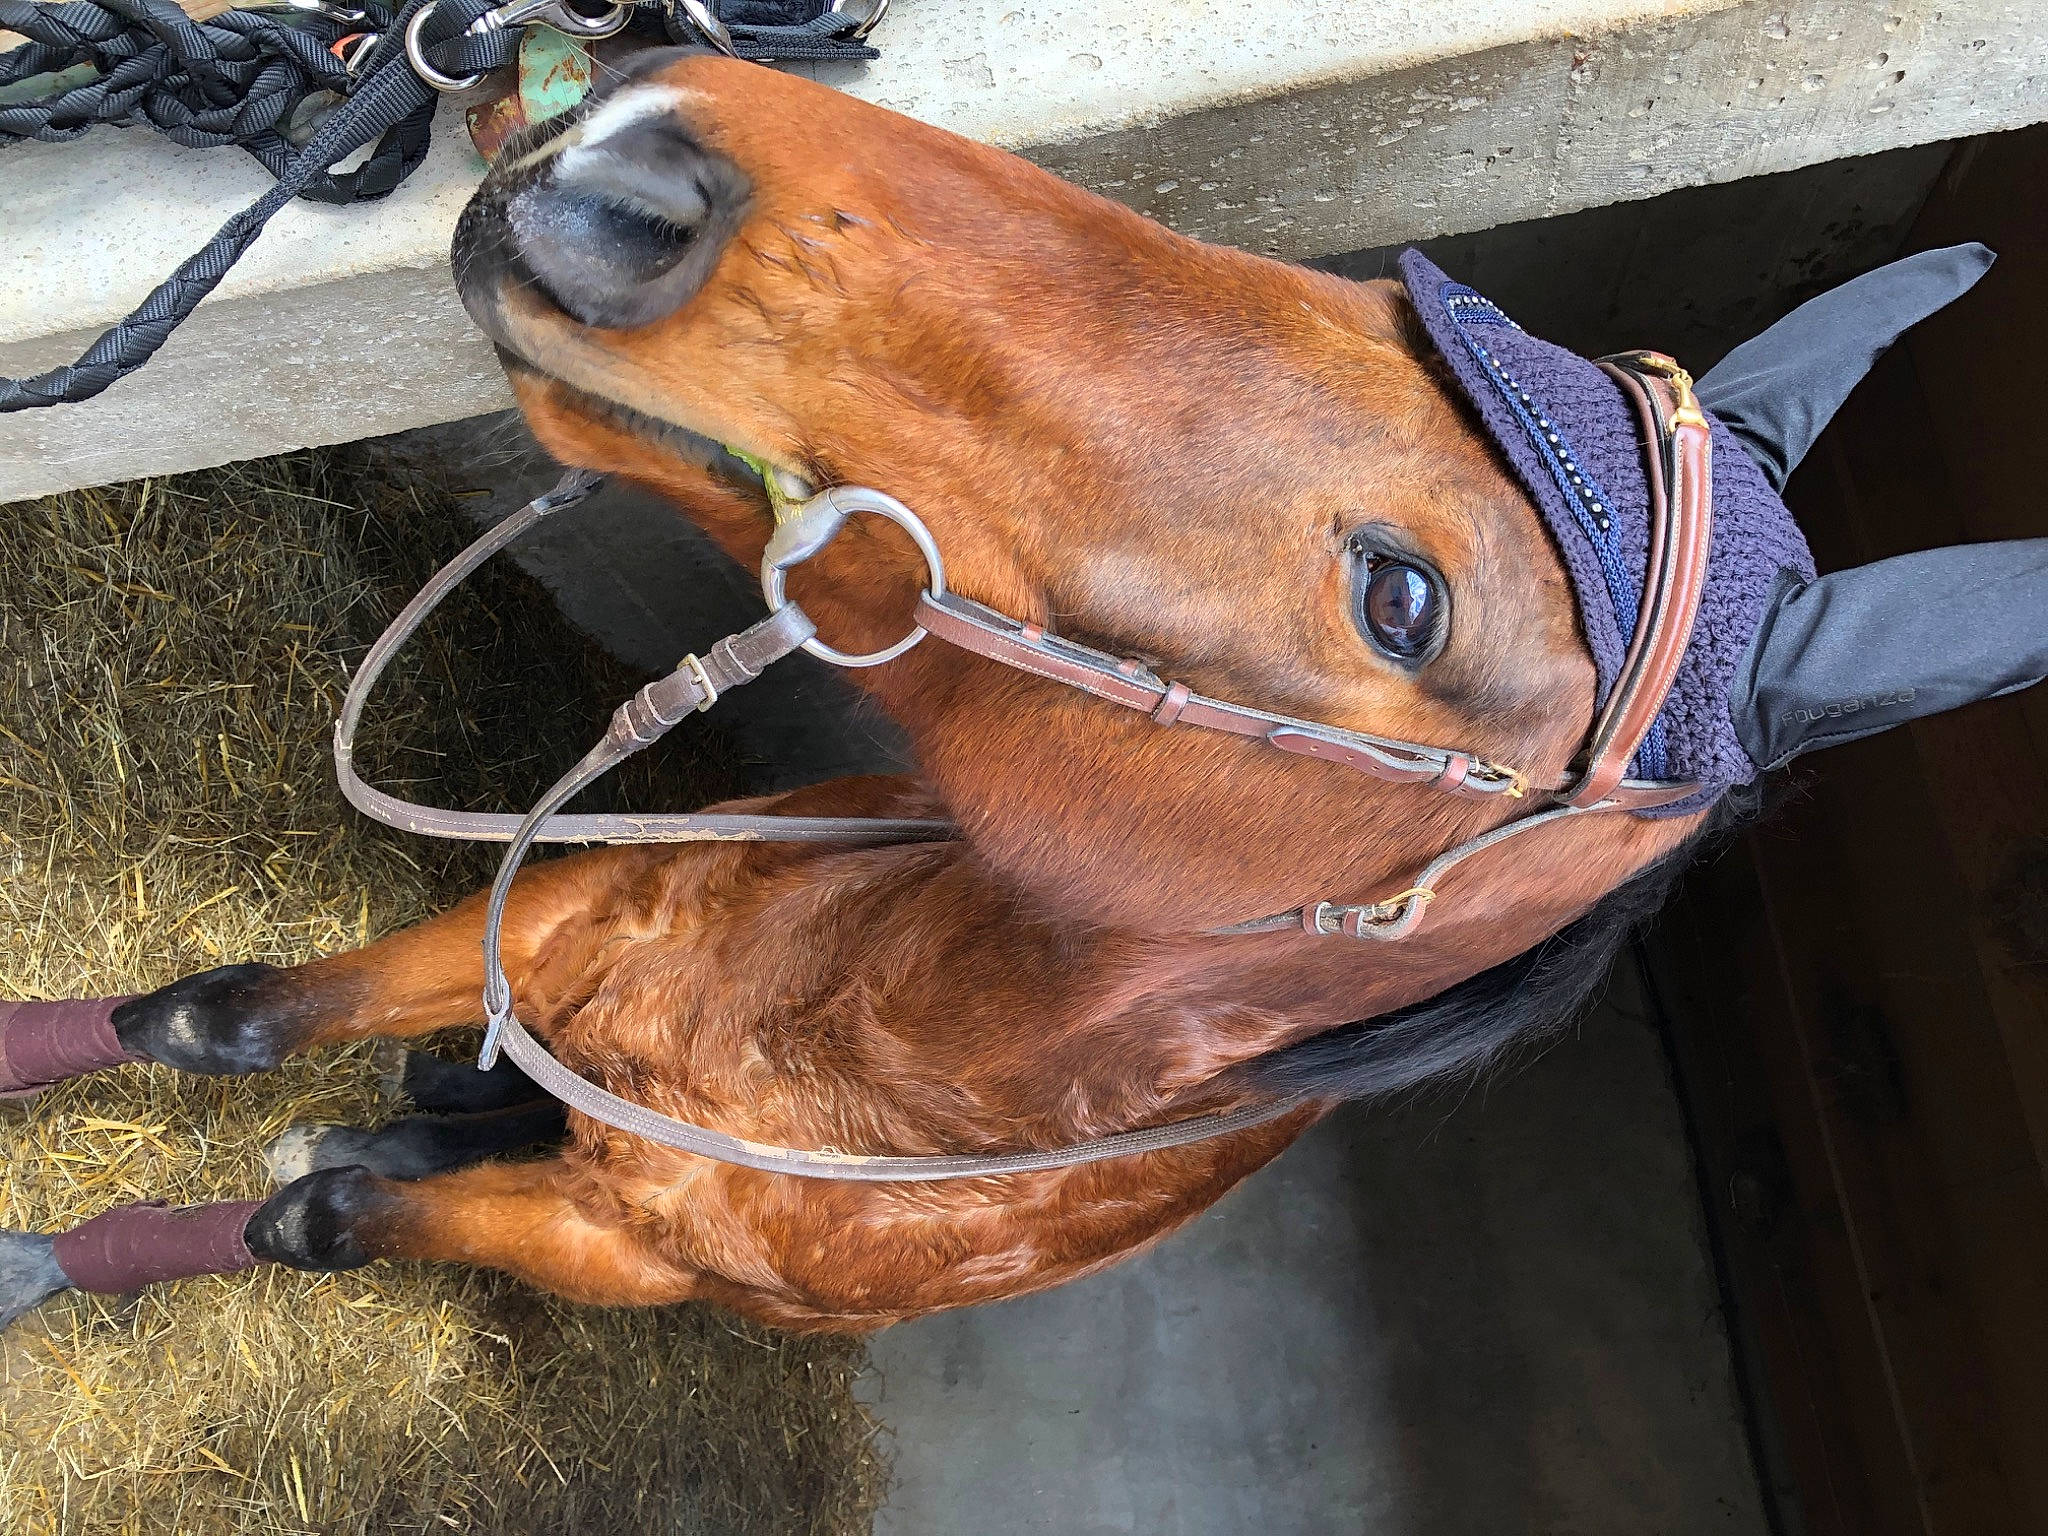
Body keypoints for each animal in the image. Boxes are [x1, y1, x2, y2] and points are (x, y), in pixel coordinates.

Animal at [1, 50, 2036, 1334]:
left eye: (1401, 601)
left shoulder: (604, 1240)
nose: (640, 151)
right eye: (1373, 309)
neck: (837, 1038)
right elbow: (227, 1020)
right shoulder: (563, 910)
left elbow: (315, 1216)